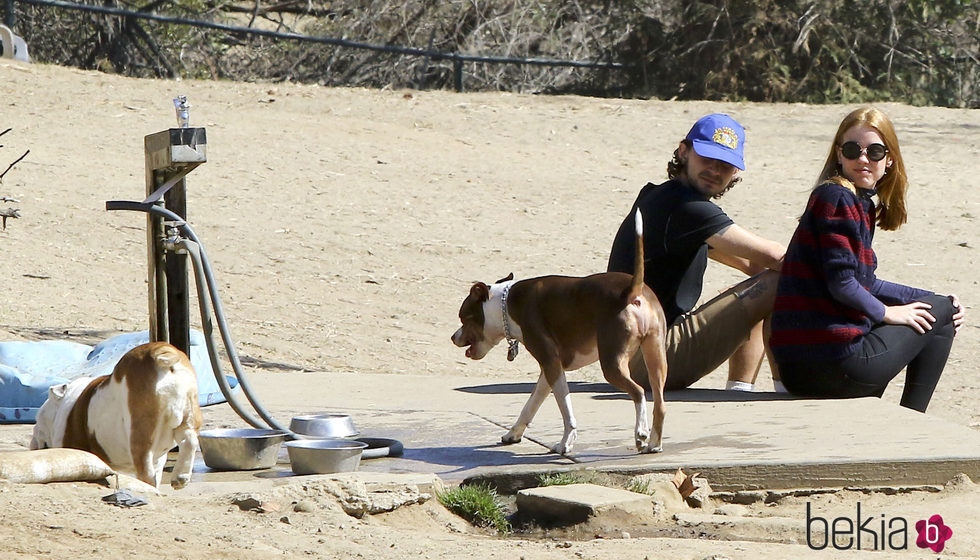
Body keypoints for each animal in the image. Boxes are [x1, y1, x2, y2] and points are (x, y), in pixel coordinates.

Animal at [30, 340, 203, 488]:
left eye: (38, 419)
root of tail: (160, 351)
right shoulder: (159, 460)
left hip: (141, 431)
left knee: (145, 468)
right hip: (190, 412)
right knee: (189, 440)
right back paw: (180, 477)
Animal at [450, 210, 668, 456]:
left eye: (464, 318)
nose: (453, 337)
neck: (507, 304)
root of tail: (632, 289)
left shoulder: (551, 364)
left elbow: (567, 413)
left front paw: (565, 444)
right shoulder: (550, 369)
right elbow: (530, 405)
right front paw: (513, 434)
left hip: (612, 364)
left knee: (639, 392)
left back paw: (641, 433)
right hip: (655, 357)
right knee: (659, 404)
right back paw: (654, 443)